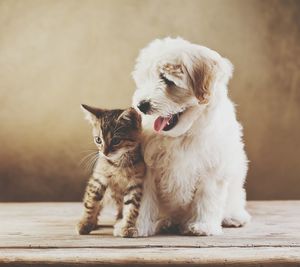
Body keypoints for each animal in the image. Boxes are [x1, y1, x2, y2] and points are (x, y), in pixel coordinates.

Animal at [77, 104, 145, 239]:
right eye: (98, 140)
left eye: (115, 140)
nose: (104, 152)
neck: (118, 164)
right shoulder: (98, 179)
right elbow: (91, 202)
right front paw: (85, 223)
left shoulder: (135, 183)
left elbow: (132, 207)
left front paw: (127, 227)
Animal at [132, 37, 250, 237]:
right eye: (144, 79)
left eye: (167, 80)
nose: (142, 105)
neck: (182, 134)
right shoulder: (147, 166)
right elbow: (144, 198)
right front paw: (136, 225)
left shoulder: (212, 166)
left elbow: (207, 196)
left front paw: (203, 226)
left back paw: (234, 216)